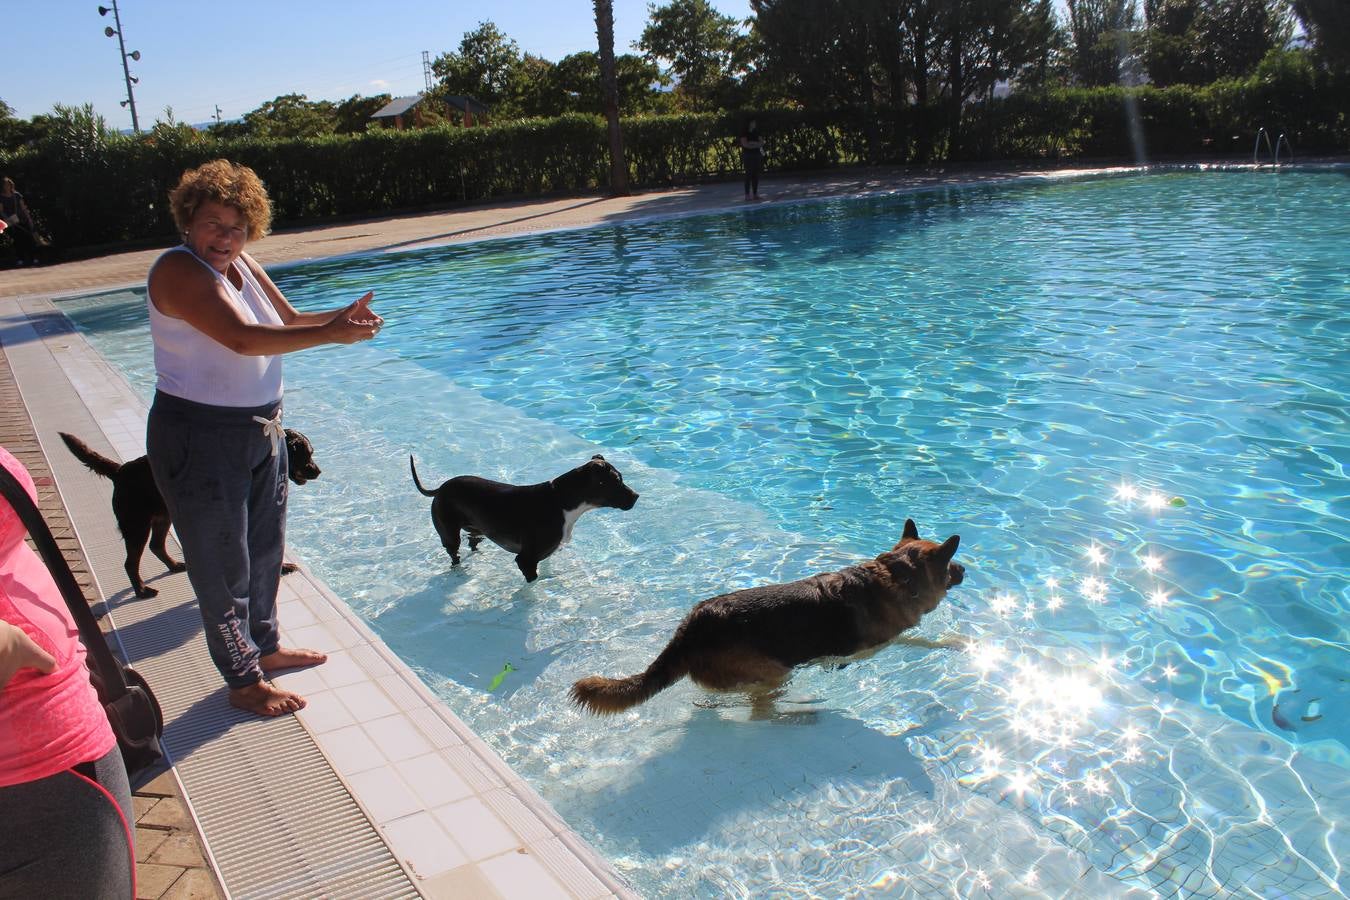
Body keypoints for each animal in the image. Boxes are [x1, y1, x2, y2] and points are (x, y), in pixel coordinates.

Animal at [60, 429, 321, 599]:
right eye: (307, 454)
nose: (319, 471)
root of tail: (120, 470)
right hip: (136, 524)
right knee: (130, 562)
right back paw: (142, 591)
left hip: (162, 516)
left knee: (156, 546)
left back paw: (175, 566)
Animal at [405, 453, 637, 580]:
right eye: (617, 481)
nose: (637, 496)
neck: (560, 501)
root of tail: (440, 489)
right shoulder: (525, 559)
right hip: (449, 534)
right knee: (454, 554)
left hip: (476, 527)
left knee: (473, 541)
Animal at [575, 520, 966, 717]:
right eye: (950, 564)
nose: (965, 569)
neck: (897, 575)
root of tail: (693, 627)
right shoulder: (882, 642)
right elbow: (920, 640)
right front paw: (955, 642)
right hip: (776, 672)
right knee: (761, 710)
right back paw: (797, 715)